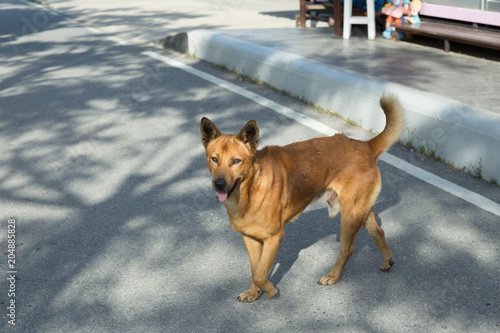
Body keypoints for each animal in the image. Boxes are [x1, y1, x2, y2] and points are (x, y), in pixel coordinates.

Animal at [201, 93, 404, 300]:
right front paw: (254, 292)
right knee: (378, 232)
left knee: (348, 249)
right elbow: (255, 269)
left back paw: (332, 276)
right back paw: (387, 261)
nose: (219, 184)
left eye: (236, 161)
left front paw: (271, 290)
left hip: (350, 216)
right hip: (361, 211)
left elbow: (260, 273)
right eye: (214, 159)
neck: (248, 191)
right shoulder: (250, 239)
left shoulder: (274, 238)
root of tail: (366, 146)